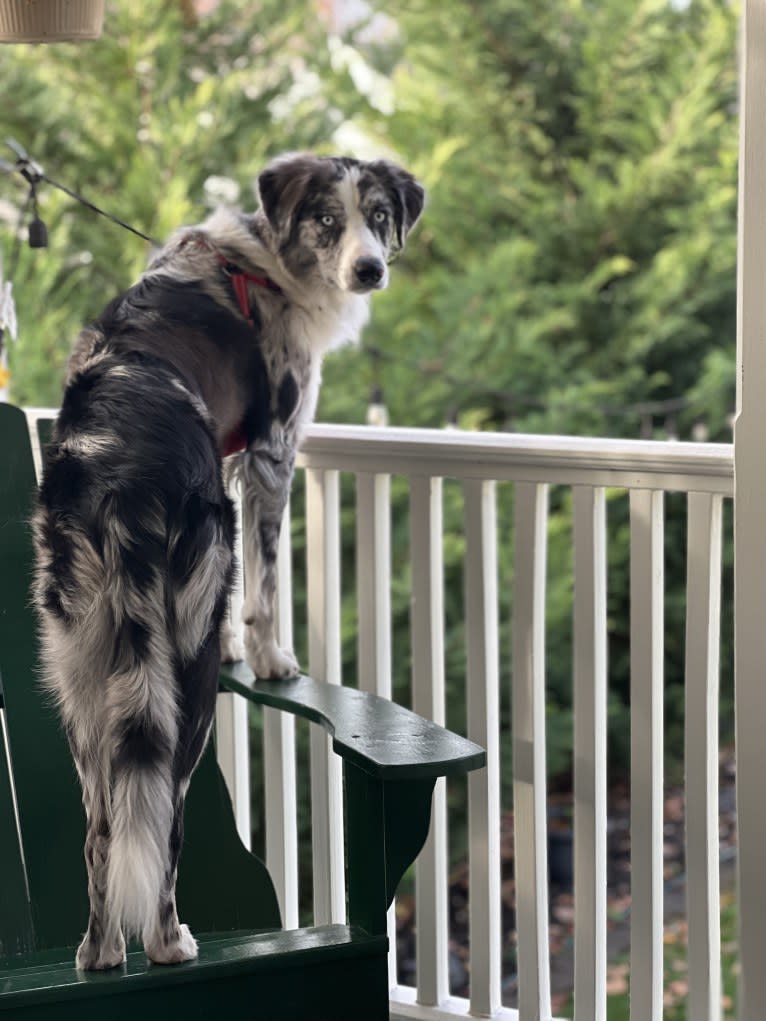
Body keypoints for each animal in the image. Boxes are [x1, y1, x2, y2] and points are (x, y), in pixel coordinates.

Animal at [32, 153, 422, 971]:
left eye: (378, 216)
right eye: (328, 220)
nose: (369, 270)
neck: (265, 260)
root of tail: (121, 465)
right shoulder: (274, 451)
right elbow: (267, 583)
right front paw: (270, 658)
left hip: (80, 670)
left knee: (102, 830)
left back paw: (100, 952)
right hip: (186, 673)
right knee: (164, 820)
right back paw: (169, 942)